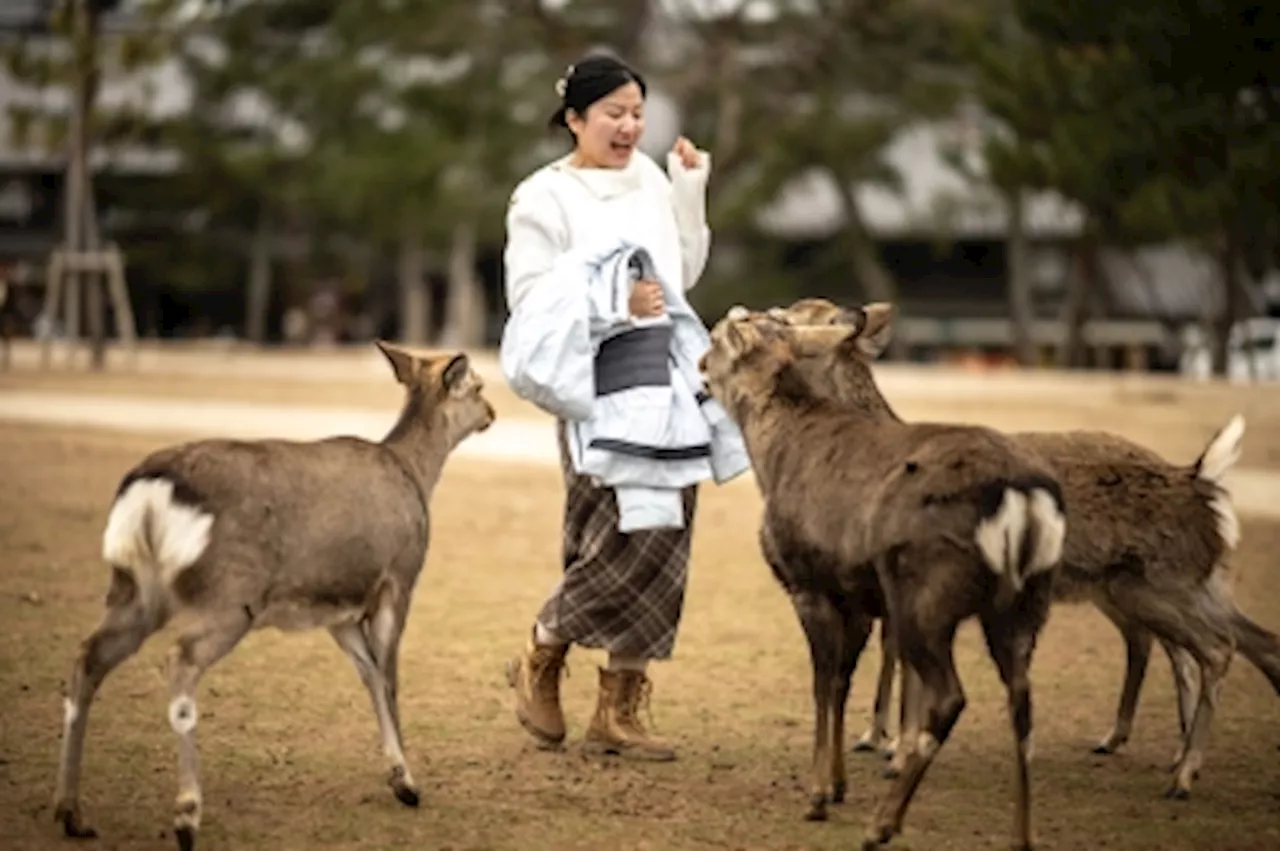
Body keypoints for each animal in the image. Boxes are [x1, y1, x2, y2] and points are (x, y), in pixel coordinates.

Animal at [47, 340, 494, 849]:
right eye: (479, 386)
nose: (492, 413)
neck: (416, 476)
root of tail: (148, 490)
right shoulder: (398, 579)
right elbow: (391, 679)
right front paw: (408, 782)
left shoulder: (337, 609)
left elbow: (369, 676)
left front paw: (398, 776)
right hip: (230, 597)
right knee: (180, 659)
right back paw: (186, 815)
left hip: (133, 588)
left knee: (88, 656)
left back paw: (71, 812)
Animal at [701, 307, 1070, 849]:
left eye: (717, 339)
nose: (700, 368)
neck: (775, 455)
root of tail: (1021, 494)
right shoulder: (853, 596)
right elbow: (840, 683)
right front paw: (836, 785)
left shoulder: (808, 582)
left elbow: (821, 684)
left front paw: (816, 795)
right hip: (1026, 603)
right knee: (1023, 705)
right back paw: (1021, 836)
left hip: (926, 594)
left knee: (950, 696)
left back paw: (883, 824)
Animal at [762, 296, 1274, 798]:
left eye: (796, 315)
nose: (764, 315)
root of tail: (1199, 477)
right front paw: (878, 740)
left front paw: (898, 752)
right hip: (1159, 585)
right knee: (1217, 643)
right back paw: (1155, 751)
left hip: (1158, 583)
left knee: (1205, 648)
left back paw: (1180, 769)